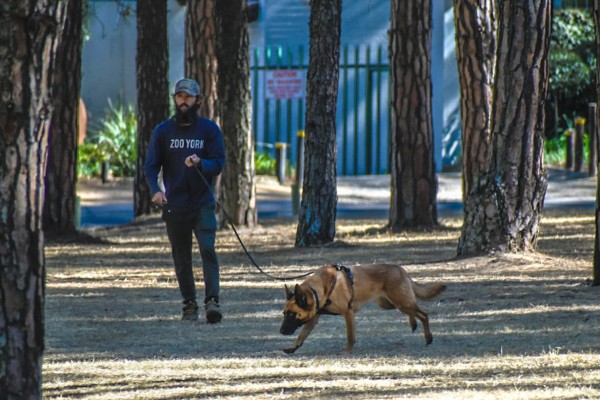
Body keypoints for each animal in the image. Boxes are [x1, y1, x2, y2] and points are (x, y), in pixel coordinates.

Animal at [280, 266, 446, 354]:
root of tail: (401, 269)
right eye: (284, 313)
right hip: (390, 304)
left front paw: (347, 351)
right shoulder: (314, 318)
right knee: (413, 310)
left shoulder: (348, 313)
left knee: (423, 314)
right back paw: (413, 323)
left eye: (292, 314)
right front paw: (293, 347)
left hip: (400, 302)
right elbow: (302, 335)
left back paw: (428, 337)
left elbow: (350, 336)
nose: (281, 332)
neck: (319, 289)